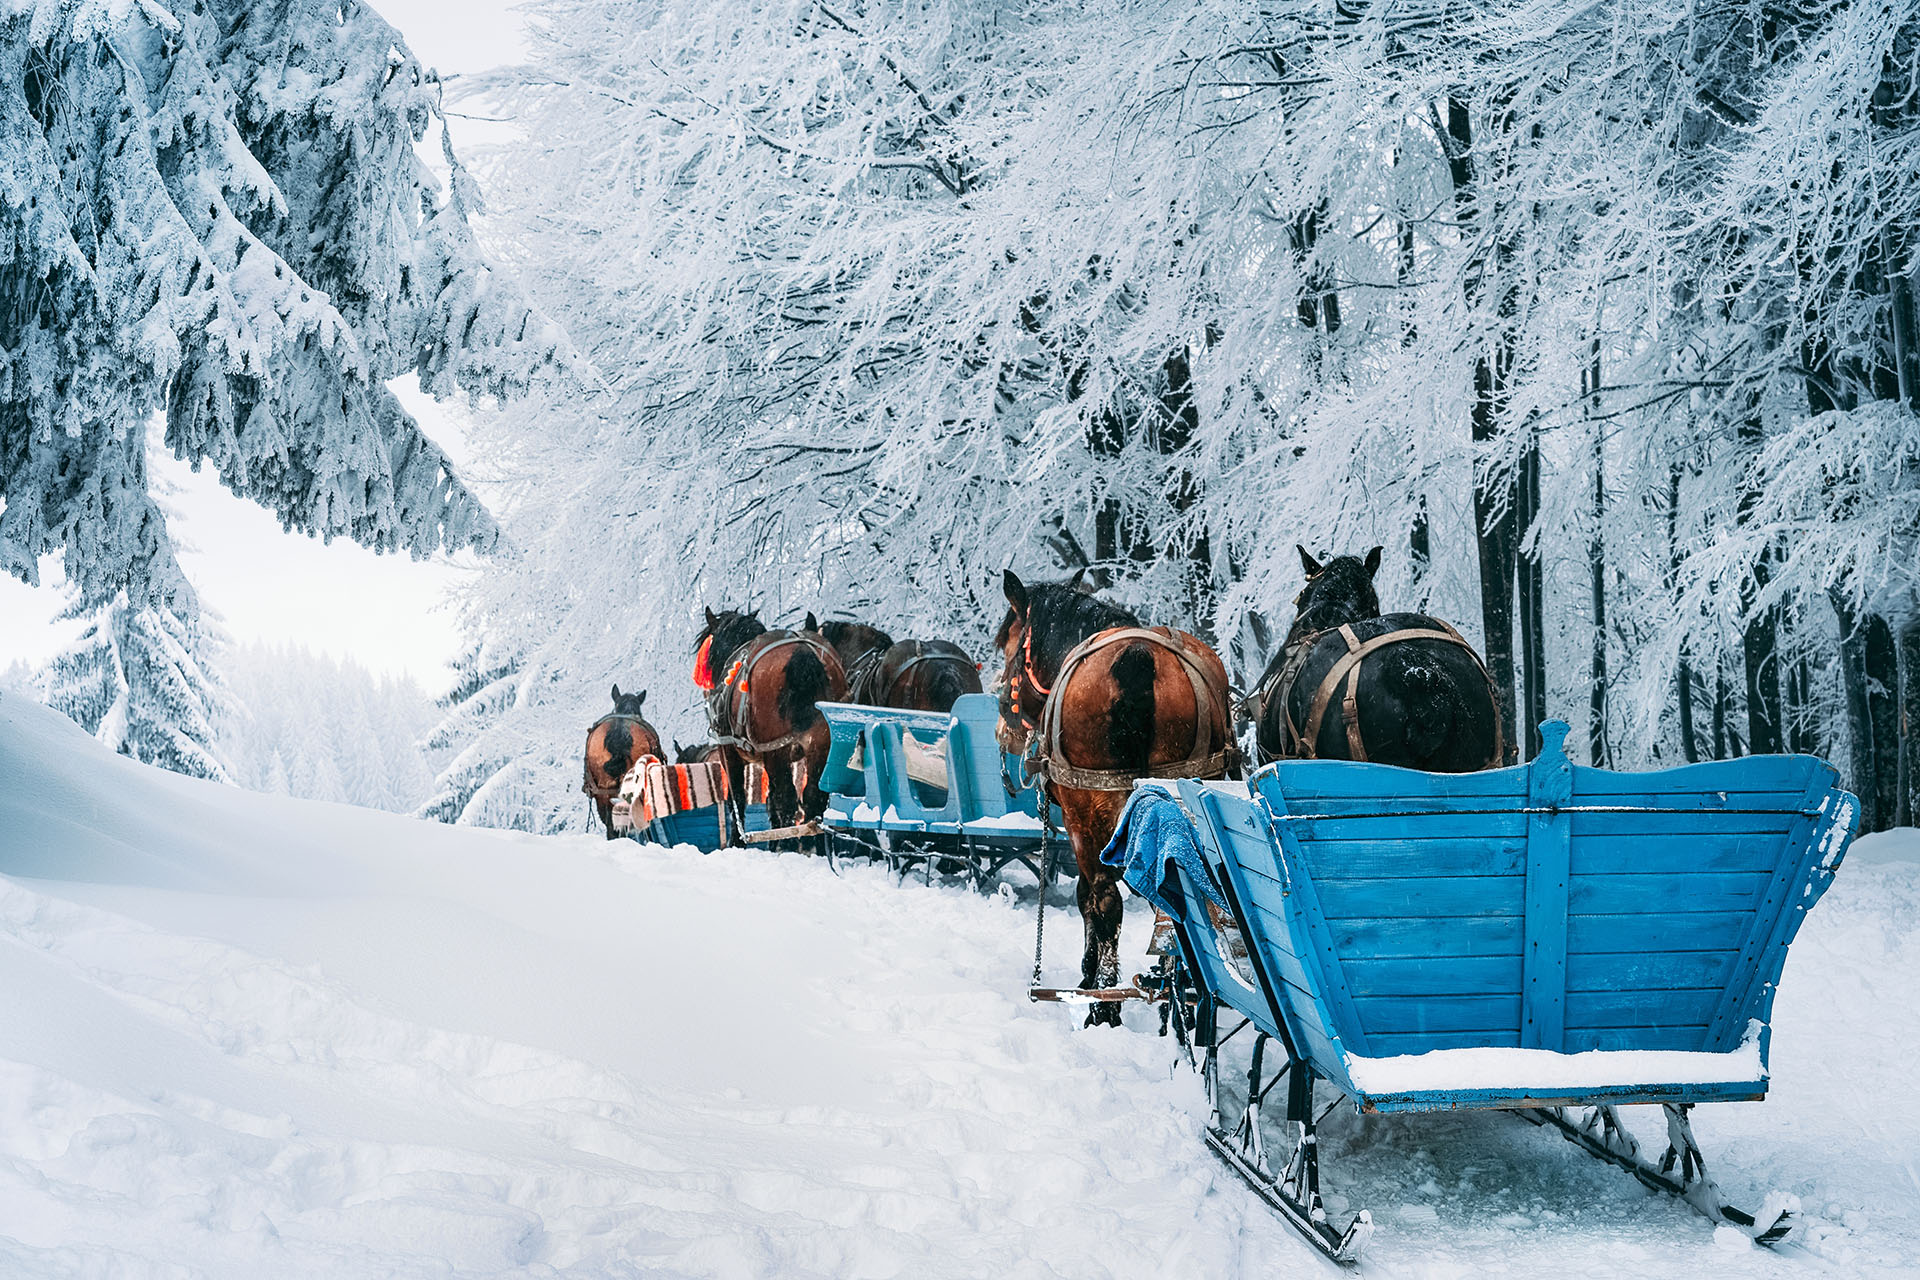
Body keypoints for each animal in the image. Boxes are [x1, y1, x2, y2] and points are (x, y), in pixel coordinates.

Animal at [698, 610, 848, 832]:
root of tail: (803, 652)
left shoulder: (728, 752)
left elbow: (737, 799)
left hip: (776, 750)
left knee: (786, 799)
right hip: (821, 745)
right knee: (813, 797)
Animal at [998, 571, 1236, 1028]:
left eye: (1006, 644)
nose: (1003, 723)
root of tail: (1138, 656)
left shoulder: (1076, 821)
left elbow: (1087, 898)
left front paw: (1089, 978)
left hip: (1089, 810)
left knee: (1106, 896)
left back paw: (1105, 1001)